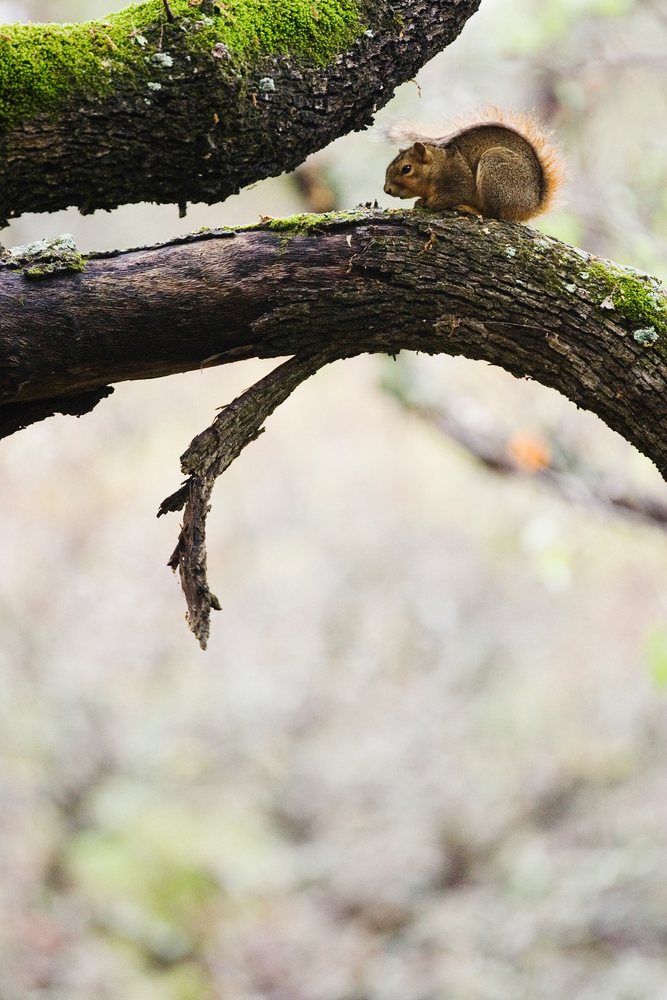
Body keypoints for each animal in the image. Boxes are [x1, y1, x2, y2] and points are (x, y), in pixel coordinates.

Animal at [383, 111, 563, 222]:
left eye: (406, 169)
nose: (387, 190)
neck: (438, 165)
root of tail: (533, 203)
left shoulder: (459, 177)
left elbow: (452, 195)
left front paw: (427, 203)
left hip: (495, 173)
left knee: (493, 214)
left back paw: (470, 209)